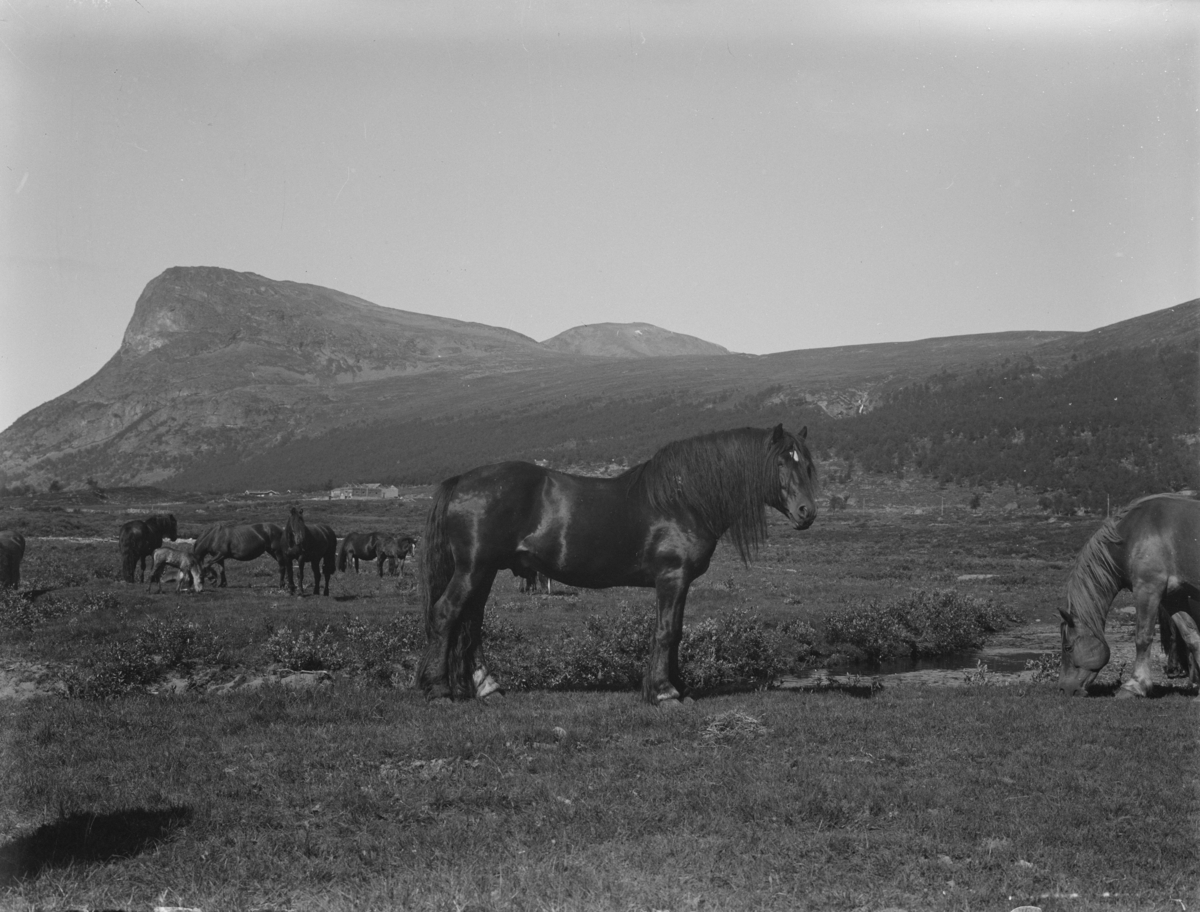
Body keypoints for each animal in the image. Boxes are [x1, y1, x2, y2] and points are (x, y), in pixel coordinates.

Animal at [412, 424, 816, 705]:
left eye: (808, 465)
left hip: (484, 571)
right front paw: (665, 693)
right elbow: (666, 632)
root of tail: (461, 481)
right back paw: (440, 690)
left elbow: (674, 632)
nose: (807, 513)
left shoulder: (678, 582)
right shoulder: (672, 577)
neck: (684, 500)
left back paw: (488, 687)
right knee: (447, 614)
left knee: (471, 624)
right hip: (473, 569)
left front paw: (676, 688)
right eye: (781, 462)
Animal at [1060, 492, 1200, 696]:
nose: (1064, 689)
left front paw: (1134, 685)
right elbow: (1191, 636)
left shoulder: (1147, 589)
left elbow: (1142, 637)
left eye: (1068, 647)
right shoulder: (1173, 597)